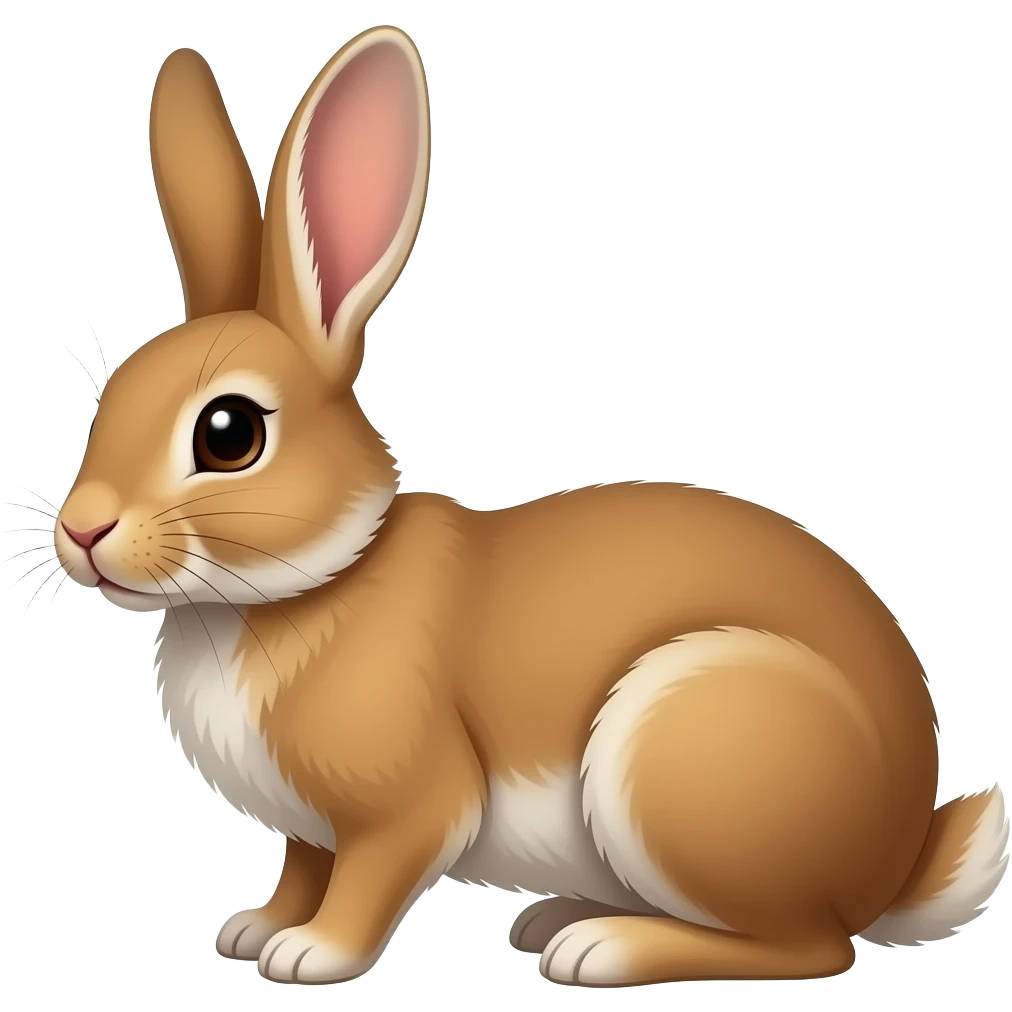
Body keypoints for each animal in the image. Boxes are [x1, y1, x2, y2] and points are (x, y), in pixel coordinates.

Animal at [51, 26, 1009, 988]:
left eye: (229, 434)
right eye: (108, 398)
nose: (82, 529)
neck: (306, 585)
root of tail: (897, 857)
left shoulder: (406, 809)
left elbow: (368, 878)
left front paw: (311, 954)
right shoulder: (309, 831)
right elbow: (302, 868)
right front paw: (254, 930)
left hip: (682, 751)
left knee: (808, 946)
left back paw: (602, 948)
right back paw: (559, 917)